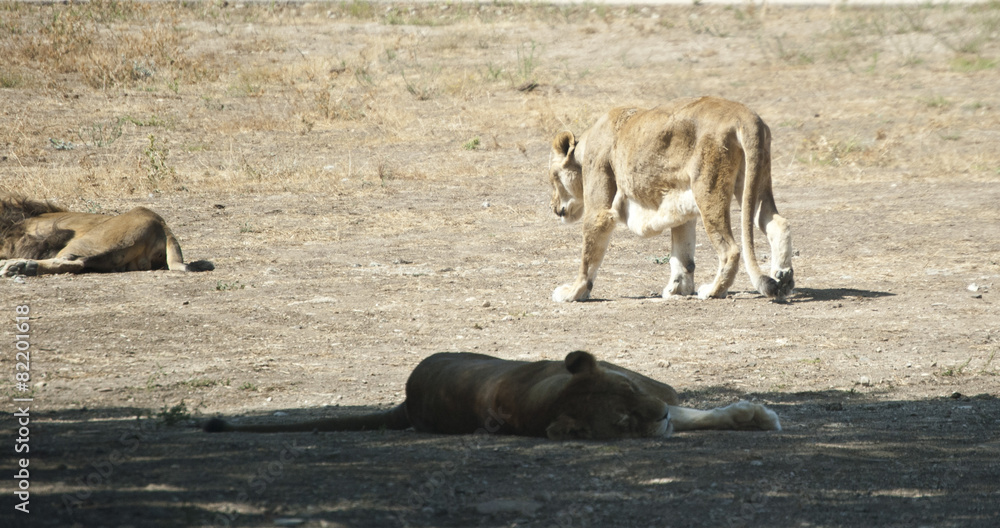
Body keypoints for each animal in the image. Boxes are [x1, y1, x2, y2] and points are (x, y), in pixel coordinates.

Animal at [0, 197, 213, 276]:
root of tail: (163, 227)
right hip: (116, 259)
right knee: (77, 264)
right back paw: (24, 267)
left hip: (90, 241)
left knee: (73, 260)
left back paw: (17, 266)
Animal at [548, 97, 794, 302]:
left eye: (553, 177)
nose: (553, 207)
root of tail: (746, 115)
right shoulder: (682, 208)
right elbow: (683, 257)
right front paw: (678, 289)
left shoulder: (600, 211)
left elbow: (587, 258)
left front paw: (574, 292)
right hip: (755, 181)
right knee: (777, 223)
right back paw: (784, 278)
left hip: (708, 189)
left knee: (730, 249)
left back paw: (713, 291)